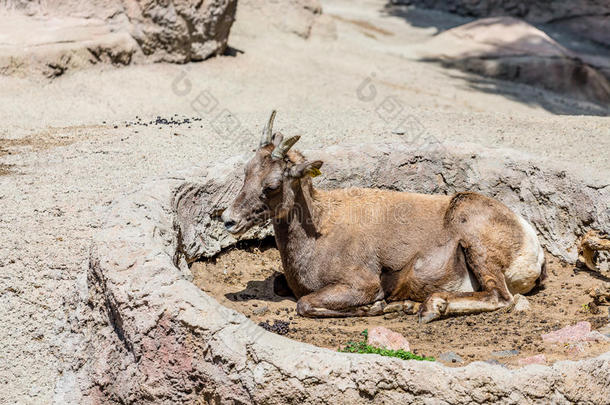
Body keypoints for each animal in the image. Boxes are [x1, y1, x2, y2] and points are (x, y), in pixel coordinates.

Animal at [221, 111, 544, 322]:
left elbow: (304, 304)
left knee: (500, 298)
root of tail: (532, 246)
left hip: (476, 245)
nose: (228, 220)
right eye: (247, 171)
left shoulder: (361, 285)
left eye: (272, 185)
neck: (321, 231)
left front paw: (380, 308)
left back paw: (430, 308)